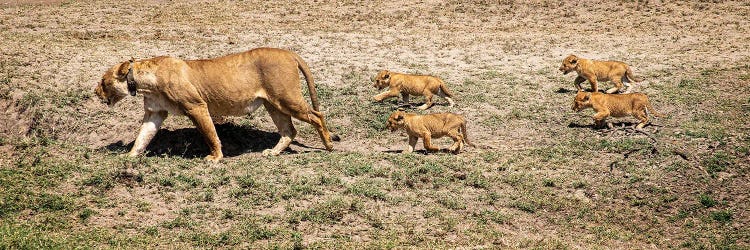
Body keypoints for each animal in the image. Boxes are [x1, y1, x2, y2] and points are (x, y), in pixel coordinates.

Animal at [94, 47, 338, 161]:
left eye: (103, 82)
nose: (95, 92)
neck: (145, 82)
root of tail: (288, 52)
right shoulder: (155, 112)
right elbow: (142, 137)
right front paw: (129, 156)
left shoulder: (196, 106)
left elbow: (210, 134)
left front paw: (215, 157)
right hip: (273, 104)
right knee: (289, 130)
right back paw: (273, 152)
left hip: (286, 98)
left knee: (317, 116)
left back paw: (328, 145)